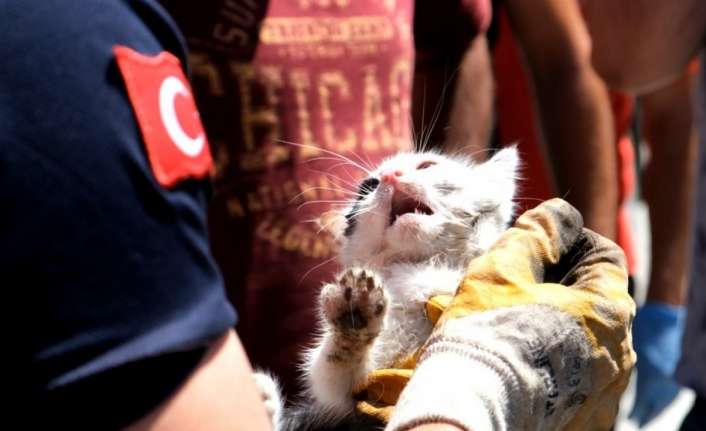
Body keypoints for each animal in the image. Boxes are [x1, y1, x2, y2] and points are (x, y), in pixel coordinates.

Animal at [256, 147, 520, 430]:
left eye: (427, 165)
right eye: (369, 186)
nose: (391, 175)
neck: (426, 268)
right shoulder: (351, 397)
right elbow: (332, 378)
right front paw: (352, 316)